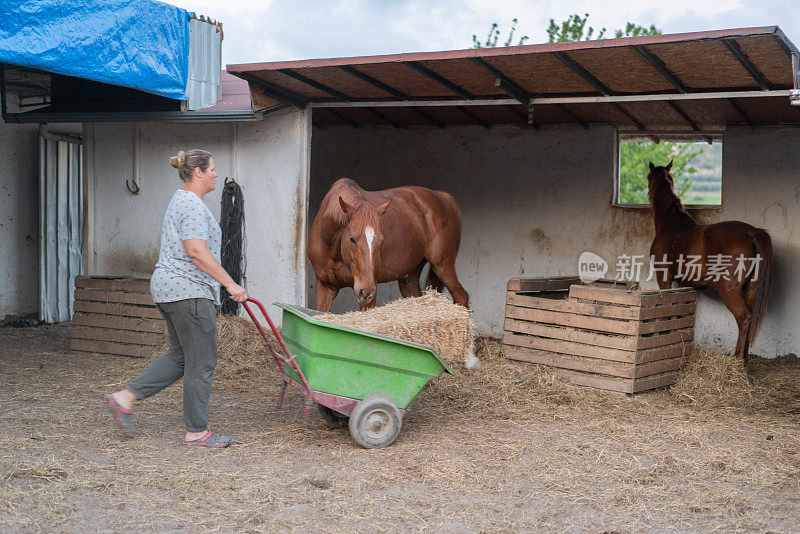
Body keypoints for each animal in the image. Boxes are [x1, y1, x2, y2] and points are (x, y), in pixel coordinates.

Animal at [648, 161, 776, 362]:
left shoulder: (664, 278)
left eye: (648, 177)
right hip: (751, 289)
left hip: (729, 290)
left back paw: (737, 359)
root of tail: (752, 231)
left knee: (744, 318)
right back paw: (744, 359)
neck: (671, 225)